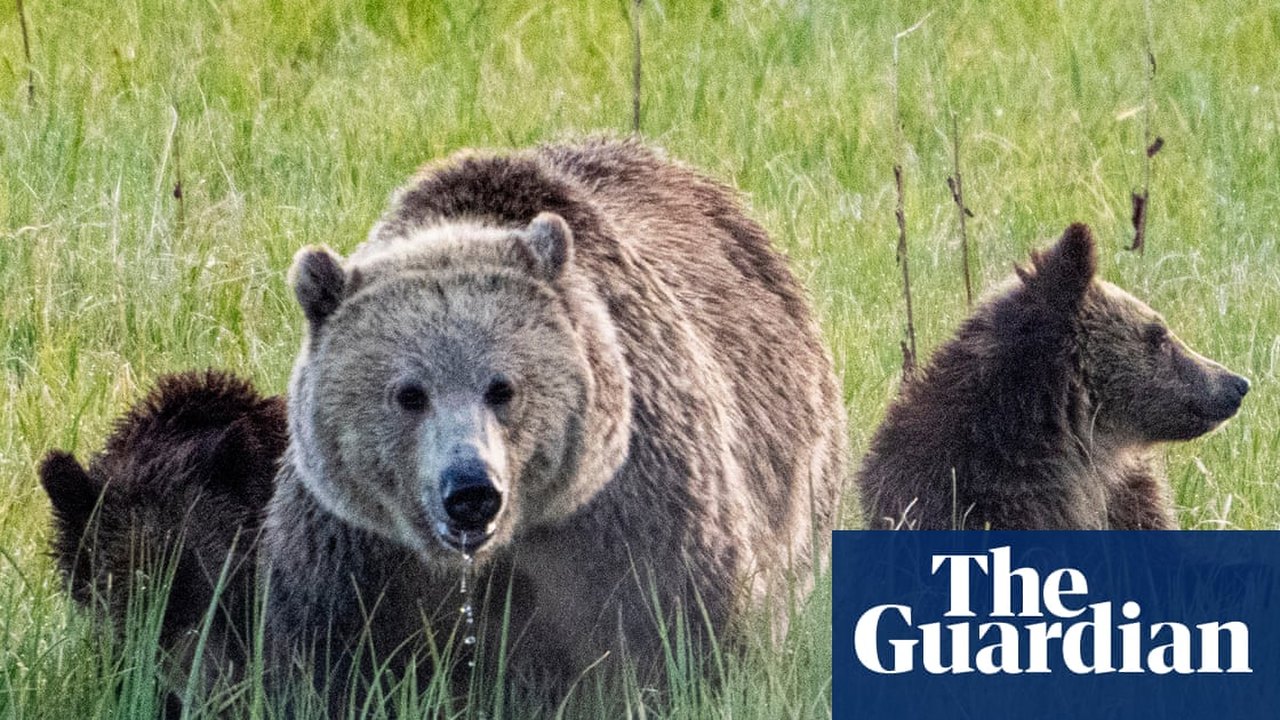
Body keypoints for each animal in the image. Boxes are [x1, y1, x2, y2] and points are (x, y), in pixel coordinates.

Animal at [262, 137, 847, 706]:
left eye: (503, 387)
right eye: (409, 394)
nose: (471, 490)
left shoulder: (631, 510)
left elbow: (684, 630)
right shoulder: (357, 549)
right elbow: (329, 657)